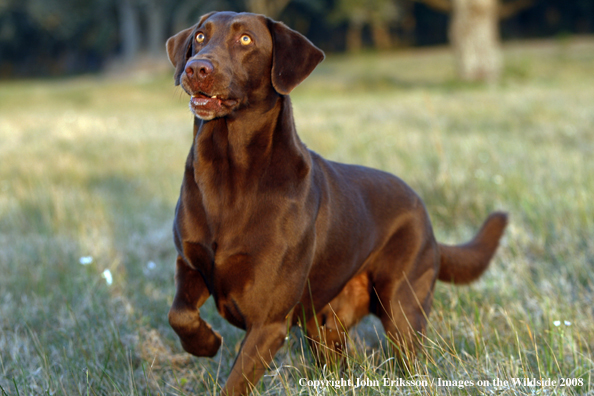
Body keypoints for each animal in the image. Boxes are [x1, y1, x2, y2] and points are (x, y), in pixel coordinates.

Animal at [164, 11, 506, 396]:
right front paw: (205, 343)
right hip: (325, 326)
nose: (196, 68)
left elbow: (236, 382)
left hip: (402, 305)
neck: (229, 172)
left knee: (410, 356)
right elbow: (179, 313)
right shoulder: (190, 263)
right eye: (200, 36)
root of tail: (426, 216)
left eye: (246, 40)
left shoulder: (269, 321)